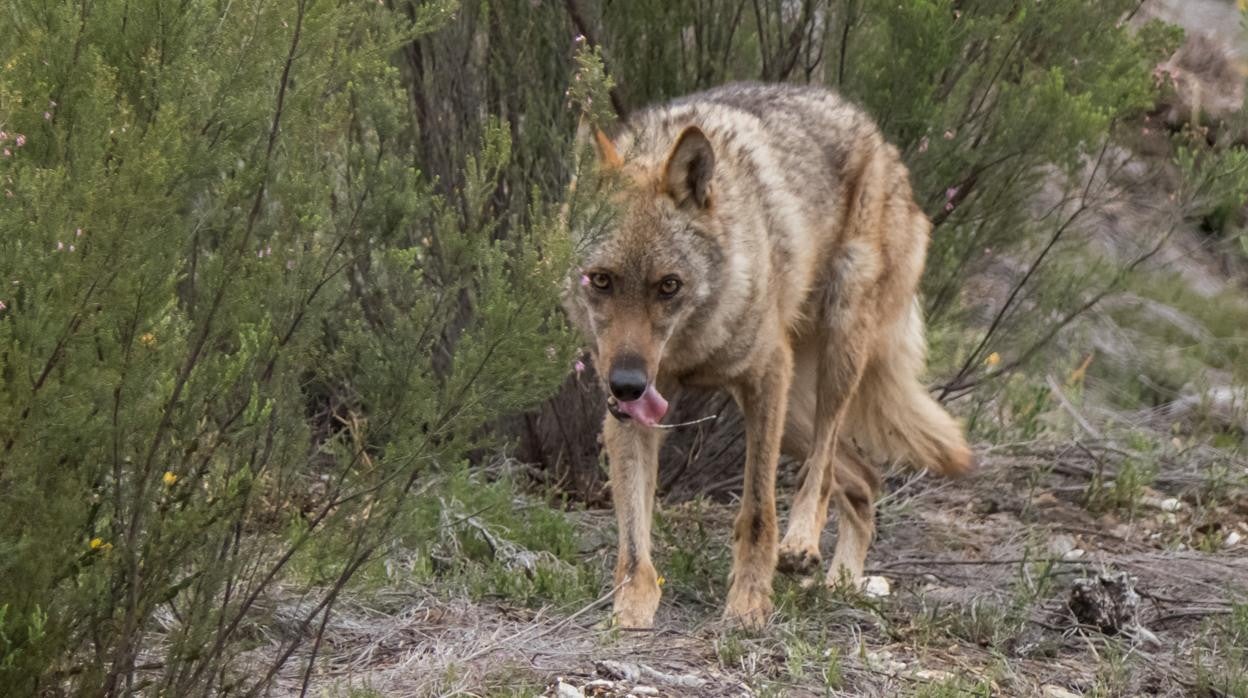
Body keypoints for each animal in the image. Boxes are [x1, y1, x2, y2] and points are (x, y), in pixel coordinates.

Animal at [566, 81, 973, 629]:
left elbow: (758, 510)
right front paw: (631, 607)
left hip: (833, 359)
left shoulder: (764, 377)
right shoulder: (629, 415)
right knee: (864, 479)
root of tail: (880, 140)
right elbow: (633, 534)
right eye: (601, 280)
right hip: (794, 415)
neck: (692, 346)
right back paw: (842, 582)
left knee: (822, 469)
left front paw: (749, 604)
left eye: (668, 286)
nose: (627, 384)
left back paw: (802, 544)